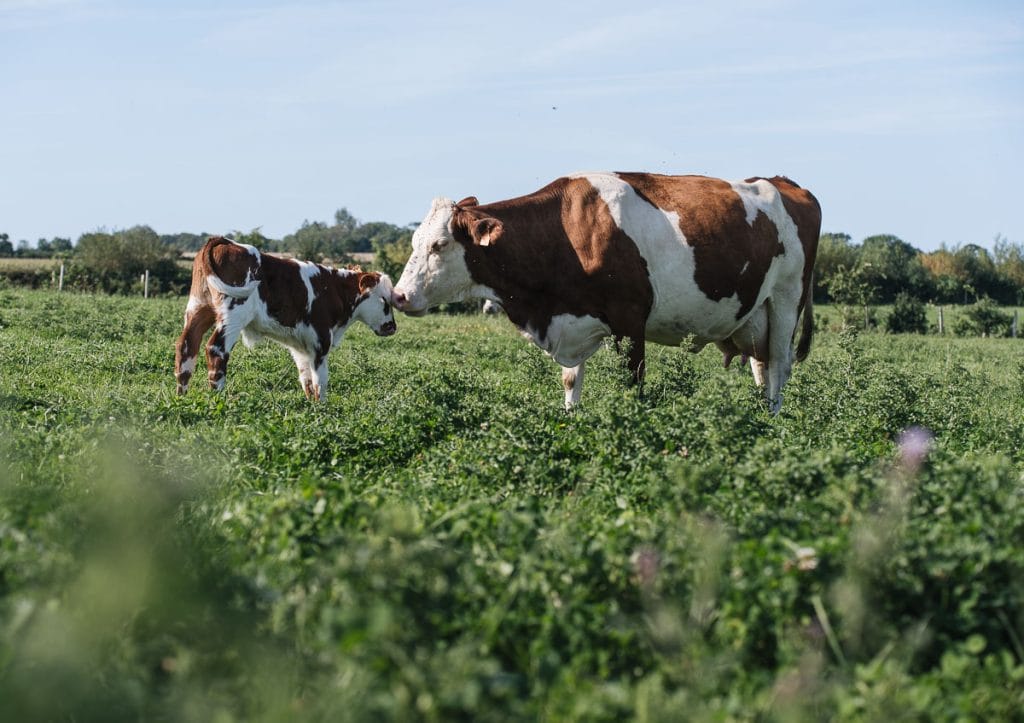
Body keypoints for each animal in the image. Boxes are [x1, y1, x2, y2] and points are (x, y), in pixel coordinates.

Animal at [174, 236, 396, 401]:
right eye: (385, 300)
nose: (392, 327)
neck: (333, 289)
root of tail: (224, 241)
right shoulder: (321, 340)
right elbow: (320, 379)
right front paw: (323, 407)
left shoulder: (301, 345)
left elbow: (306, 377)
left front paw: (312, 405)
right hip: (233, 315)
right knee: (216, 349)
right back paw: (218, 396)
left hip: (198, 308)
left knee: (186, 345)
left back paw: (182, 397)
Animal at [391, 173, 820, 413]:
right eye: (414, 242)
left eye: (439, 245)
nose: (398, 296)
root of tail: (783, 182)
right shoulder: (571, 318)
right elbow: (570, 382)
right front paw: (570, 423)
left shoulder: (630, 320)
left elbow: (632, 381)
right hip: (755, 315)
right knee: (762, 367)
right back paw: (759, 414)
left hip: (786, 300)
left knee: (780, 366)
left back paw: (772, 422)